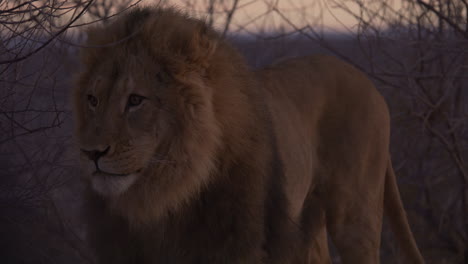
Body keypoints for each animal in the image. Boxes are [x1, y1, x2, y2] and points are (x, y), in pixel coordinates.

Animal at [73, 6, 424, 264]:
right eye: (93, 100)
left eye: (135, 100)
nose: (91, 153)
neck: (166, 198)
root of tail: (368, 82)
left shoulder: (240, 246)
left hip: (356, 219)